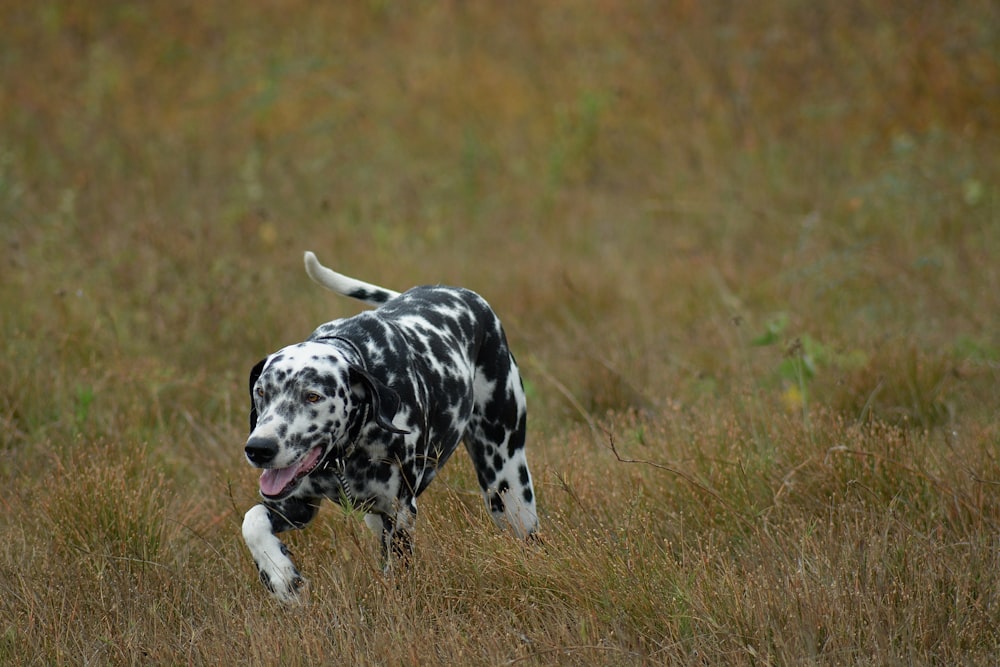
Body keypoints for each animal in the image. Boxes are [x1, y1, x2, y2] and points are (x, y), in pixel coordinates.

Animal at [242, 252, 540, 604]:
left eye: (312, 395)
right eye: (262, 392)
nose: (259, 449)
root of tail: (464, 295)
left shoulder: (398, 512)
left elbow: (396, 573)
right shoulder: (296, 506)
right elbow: (252, 521)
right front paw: (281, 576)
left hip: (508, 489)